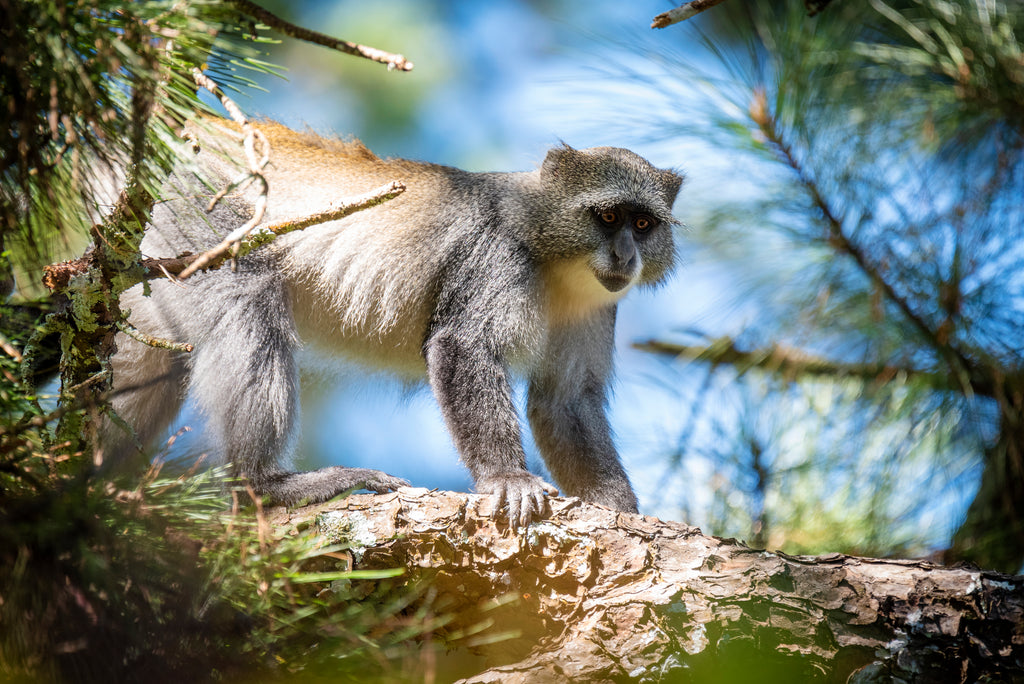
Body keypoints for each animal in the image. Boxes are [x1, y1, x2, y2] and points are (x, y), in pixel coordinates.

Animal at [107, 119, 683, 526]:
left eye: (643, 223)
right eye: (607, 217)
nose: (625, 256)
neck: (553, 255)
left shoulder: (597, 306)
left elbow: (565, 402)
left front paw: (622, 512)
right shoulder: (495, 254)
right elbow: (462, 346)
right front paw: (507, 478)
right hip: (193, 222)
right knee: (249, 301)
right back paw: (266, 486)